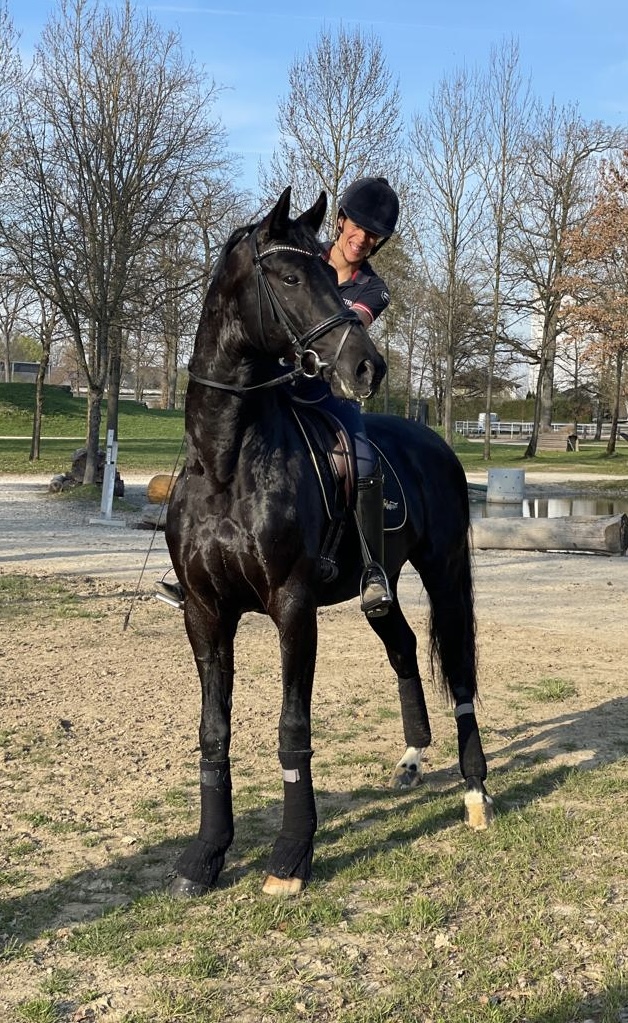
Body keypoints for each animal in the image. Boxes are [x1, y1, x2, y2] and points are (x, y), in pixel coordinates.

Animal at [164, 187, 493, 898]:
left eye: (332, 278)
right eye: (289, 277)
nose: (368, 365)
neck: (227, 462)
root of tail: (436, 443)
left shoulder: (292, 607)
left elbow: (293, 730)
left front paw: (292, 855)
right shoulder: (204, 612)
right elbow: (212, 732)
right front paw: (205, 855)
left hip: (445, 575)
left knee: (458, 666)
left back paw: (475, 790)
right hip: (383, 588)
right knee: (402, 647)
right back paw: (412, 757)